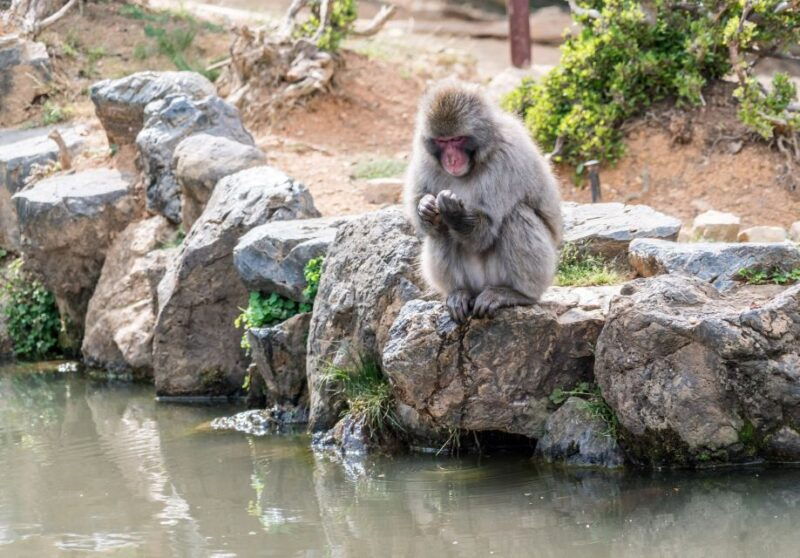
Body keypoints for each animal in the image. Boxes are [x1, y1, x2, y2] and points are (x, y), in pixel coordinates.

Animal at [404, 79, 563, 324]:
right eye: (442, 141)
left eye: (457, 139)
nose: (451, 159)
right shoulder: (425, 156)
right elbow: (423, 211)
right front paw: (426, 207)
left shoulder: (507, 158)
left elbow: (485, 231)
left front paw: (454, 212)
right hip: (473, 281)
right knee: (438, 231)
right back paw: (459, 293)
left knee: (516, 215)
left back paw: (517, 294)